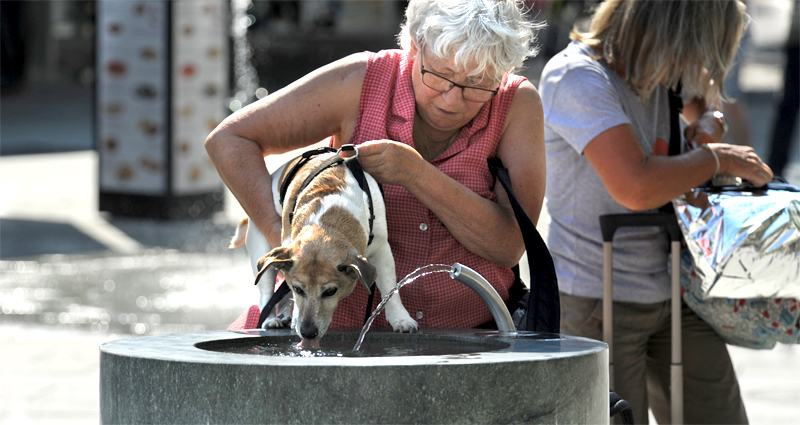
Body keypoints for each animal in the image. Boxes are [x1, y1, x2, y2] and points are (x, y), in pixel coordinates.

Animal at [227, 147, 418, 346]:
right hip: (263, 249)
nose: (308, 332)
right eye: (299, 289)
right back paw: (272, 319)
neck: (329, 221)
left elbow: (390, 286)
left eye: (330, 291)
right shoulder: (287, 248)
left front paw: (400, 318)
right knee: (266, 293)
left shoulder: (382, 249)